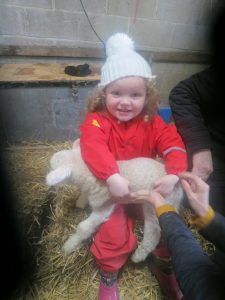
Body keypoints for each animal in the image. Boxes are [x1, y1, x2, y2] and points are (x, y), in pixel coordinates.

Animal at [45, 144, 183, 262]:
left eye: (52, 167)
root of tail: (178, 183)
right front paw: (80, 202)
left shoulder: (104, 206)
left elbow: (84, 227)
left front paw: (69, 246)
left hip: (156, 204)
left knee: (154, 232)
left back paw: (138, 256)